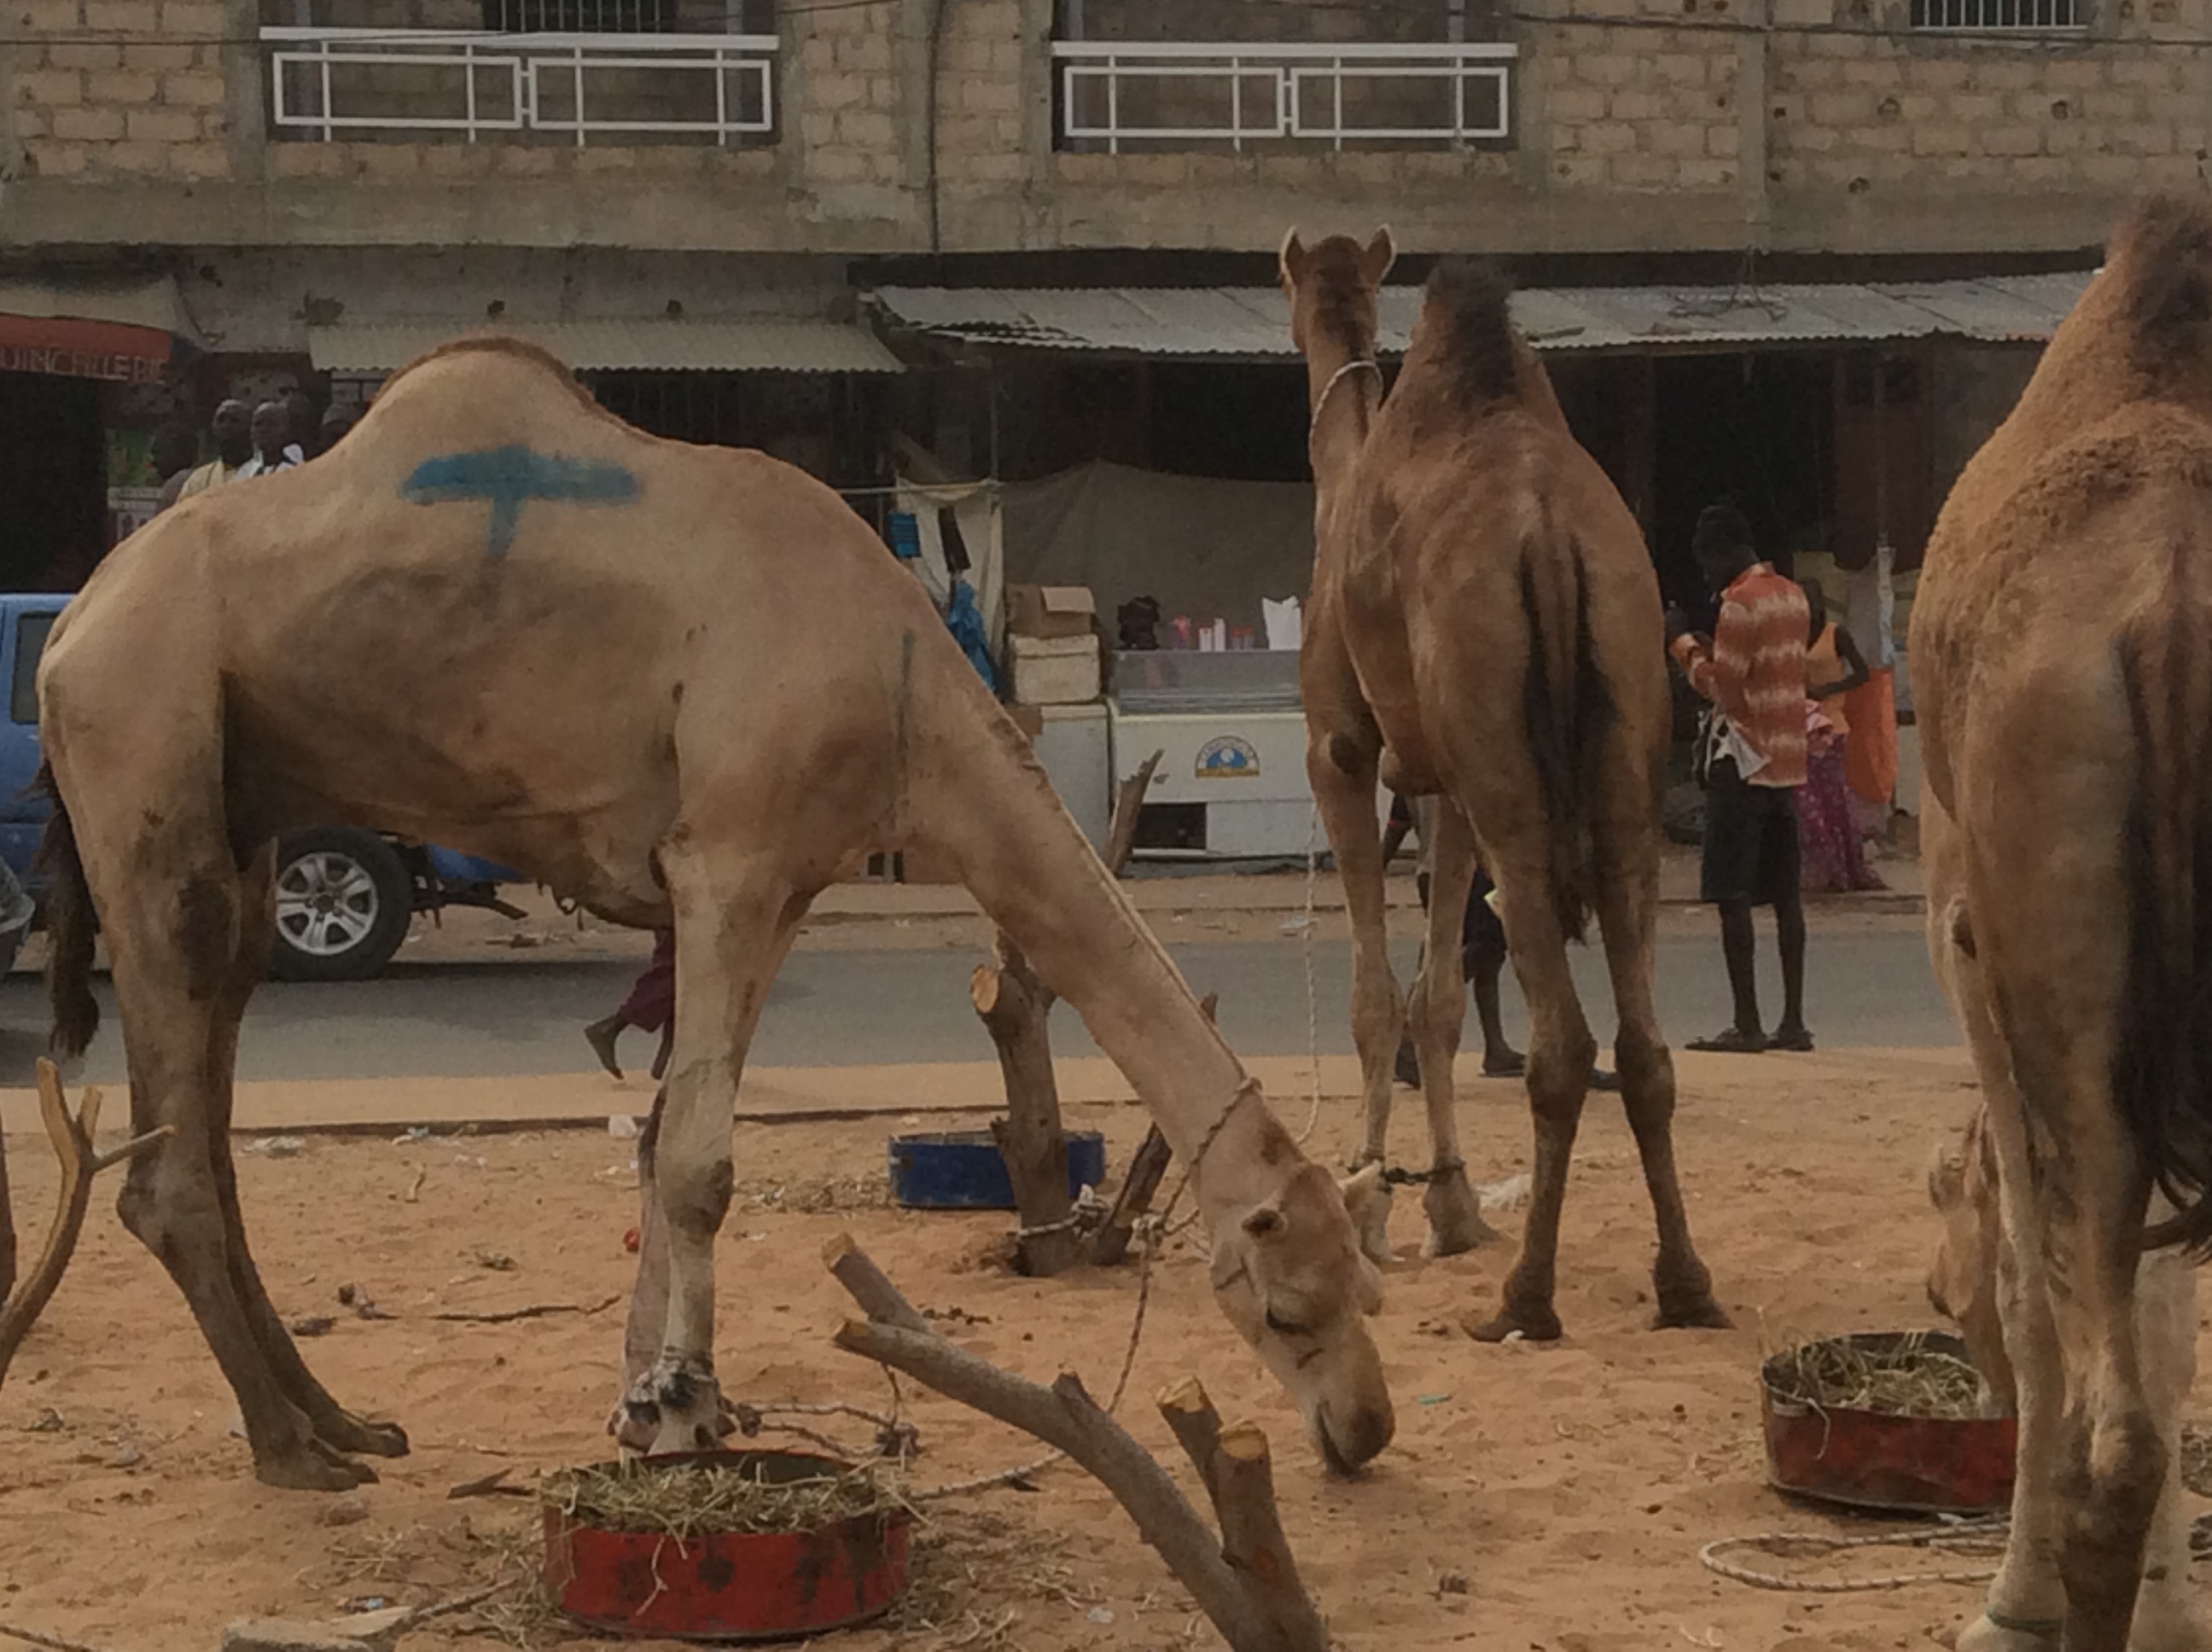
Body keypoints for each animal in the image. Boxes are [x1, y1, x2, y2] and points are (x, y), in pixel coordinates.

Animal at [30, 329, 1398, 1494]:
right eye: (1289, 1306)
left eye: (1370, 1285)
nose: (1366, 1429)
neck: (903, 689)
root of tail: (69, 628)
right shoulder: (728, 857)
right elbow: (700, 1161)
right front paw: (684, 1412)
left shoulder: (781, 876)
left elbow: (657, 1140)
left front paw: (647, 1407)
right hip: (143, 729)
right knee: (171, 1123)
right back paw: (290, 1450)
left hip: (245, 799)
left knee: (214, 1094)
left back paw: (342, 1420)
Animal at [1283, 232, 1725, 1344]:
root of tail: (1553, 540)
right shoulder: (1438, 780)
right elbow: (1434, 994)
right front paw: (1444, 1203)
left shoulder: (1340, 747)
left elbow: (1374, 994)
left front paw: (1369, 1203)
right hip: (1623, 739)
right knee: (1644, 1045)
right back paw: (1685, 1283)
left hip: (1509, 781)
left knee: (1562, 1042)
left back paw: (1525, 1299)